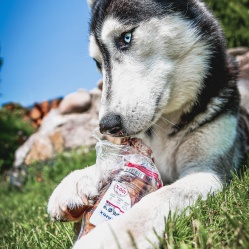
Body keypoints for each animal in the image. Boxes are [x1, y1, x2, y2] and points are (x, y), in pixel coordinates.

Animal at [47, 0, 248, 248]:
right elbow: (117, 161)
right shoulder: (145, 157)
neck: (166, 124)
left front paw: (111, 235)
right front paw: (80, 178)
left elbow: (163, 196)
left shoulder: (209, 171)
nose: (106, 125)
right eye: (97, 62)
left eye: (126, 38)